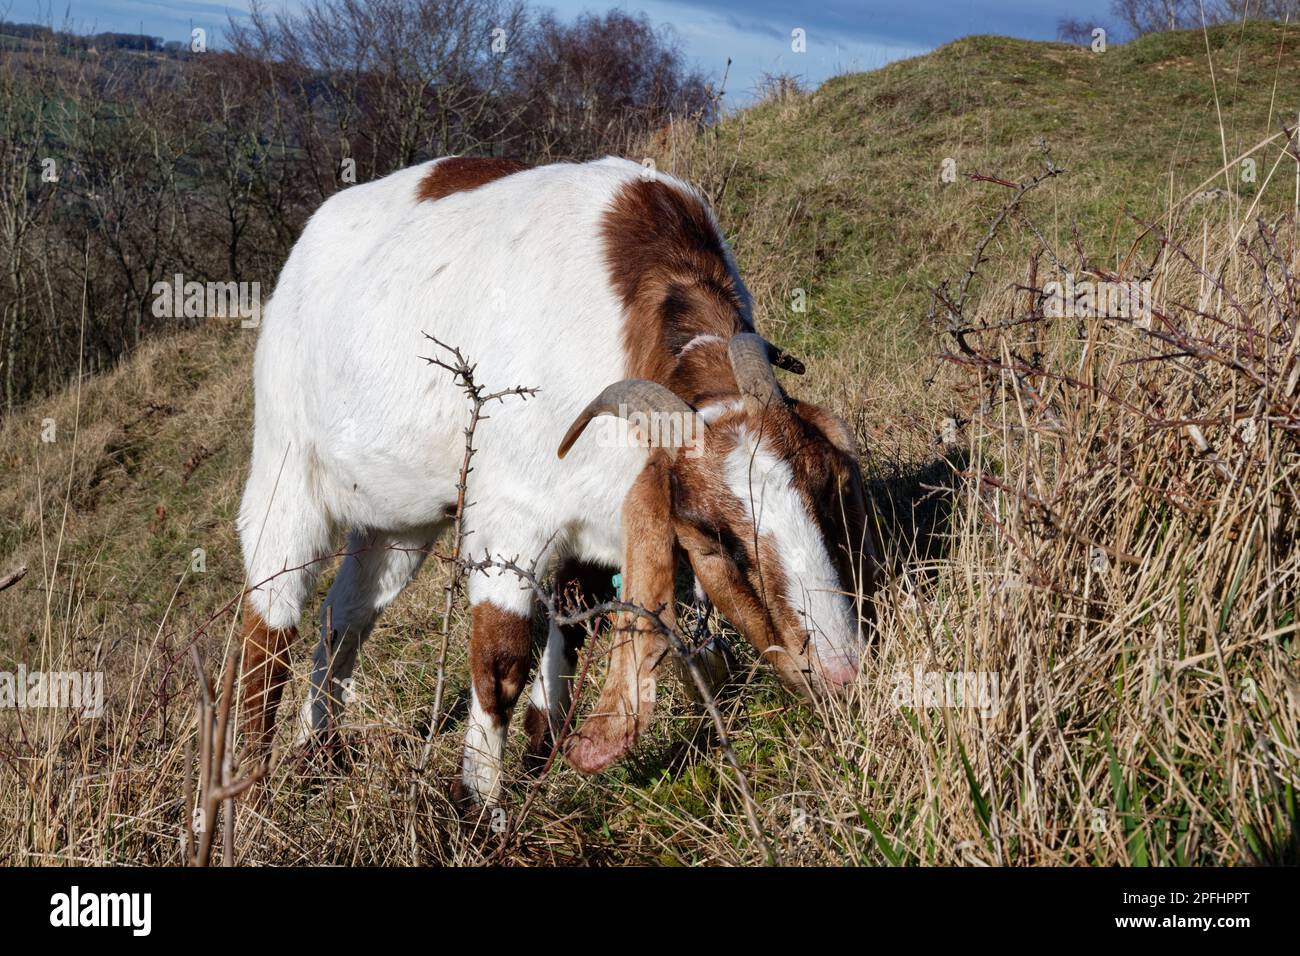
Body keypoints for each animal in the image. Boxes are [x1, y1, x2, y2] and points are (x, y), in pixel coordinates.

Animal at [237, 157, 878, 806]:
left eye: (828, 494)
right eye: (713, 536)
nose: (841, 671)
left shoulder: (595, 516)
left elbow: (571, 626)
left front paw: (541, 749)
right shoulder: (509, 519)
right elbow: (500, 665)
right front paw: (478, 808)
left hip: (399, 522)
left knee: (344, 617)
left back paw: (318, 752)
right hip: (284, 471)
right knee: (268, 624)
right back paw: (250, 788)